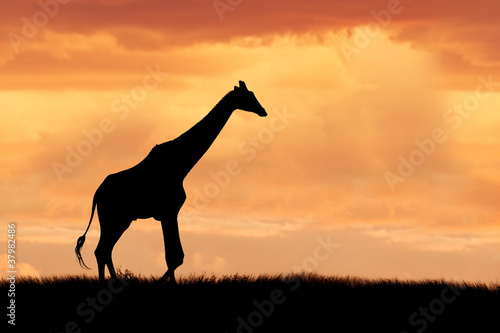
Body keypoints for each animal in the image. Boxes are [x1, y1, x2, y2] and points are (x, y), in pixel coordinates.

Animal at [73, 81, 266, 282]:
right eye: (248, 97)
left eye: (253, 94)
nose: (263, 111)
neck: (180, 166)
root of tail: (97, 194)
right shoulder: (169, 211)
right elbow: (174, 257)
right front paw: (163, 283)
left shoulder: (169, 213)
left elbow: (174, 256)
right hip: (114, 217)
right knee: (102, 250)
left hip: (119, 219)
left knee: (104, 250)